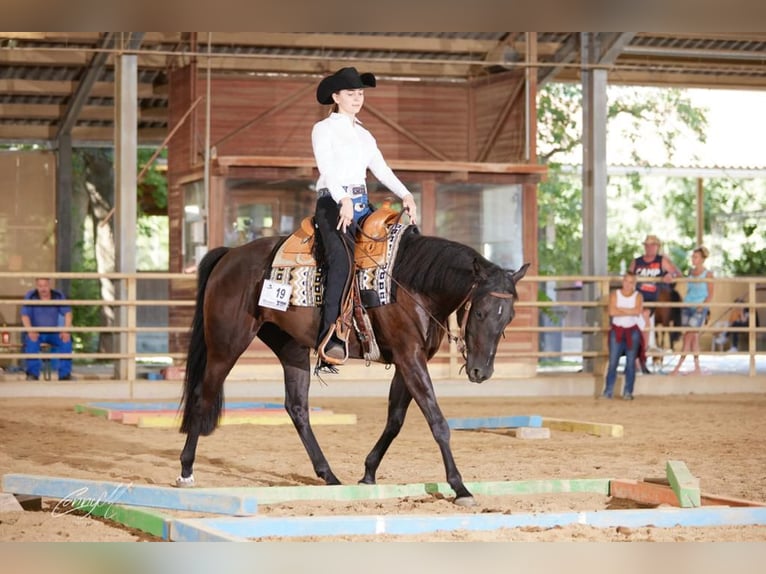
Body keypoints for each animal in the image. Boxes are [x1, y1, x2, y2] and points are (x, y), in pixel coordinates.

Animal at [177, 223, 532, 506]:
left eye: (509, 317)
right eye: (481, 312)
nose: (481, 372)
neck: (412, 285)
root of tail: (230, 256)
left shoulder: (407, 361)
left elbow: (395, 420)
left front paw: (368, 472)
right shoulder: (410, 357)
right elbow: (437, 422)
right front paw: (460, 487)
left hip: (290, 348)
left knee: (297, 408)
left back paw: (329, 476)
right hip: (226, 345)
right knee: (202, 397)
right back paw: (186, 470)